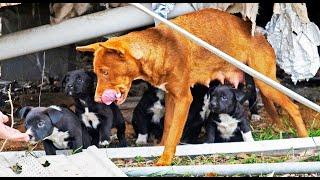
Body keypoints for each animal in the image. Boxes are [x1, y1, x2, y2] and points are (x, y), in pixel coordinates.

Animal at [76, 8, 308, 166]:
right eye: (96, 73)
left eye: (105, 72)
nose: (97, 99)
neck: (161, 48)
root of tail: (259, 32)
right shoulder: (172, 97)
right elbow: (168, 127)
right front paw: (159, 149)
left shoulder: (183, 99)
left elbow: (174, 134)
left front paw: (165, 160)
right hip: (261, 83)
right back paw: (279, 128)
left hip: (266, 83)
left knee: (294, 107)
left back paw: (305, 140)